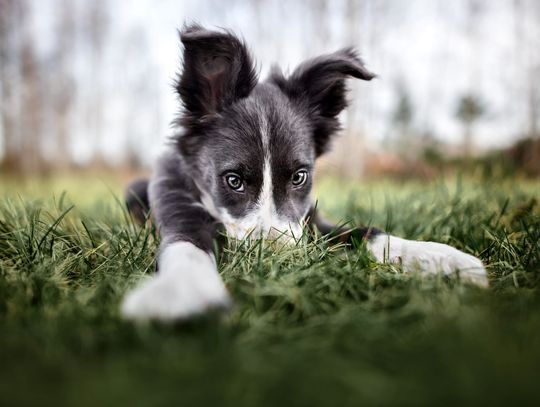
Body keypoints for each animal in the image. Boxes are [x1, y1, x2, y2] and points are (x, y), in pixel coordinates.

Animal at [122, 24, 490, 322]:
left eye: (299, 176)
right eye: (234, 180)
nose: (280, 261)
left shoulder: (311, 220)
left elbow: (364, 231)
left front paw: (439, 257)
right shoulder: (178, 208)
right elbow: (187, 247)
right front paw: (180, 290)